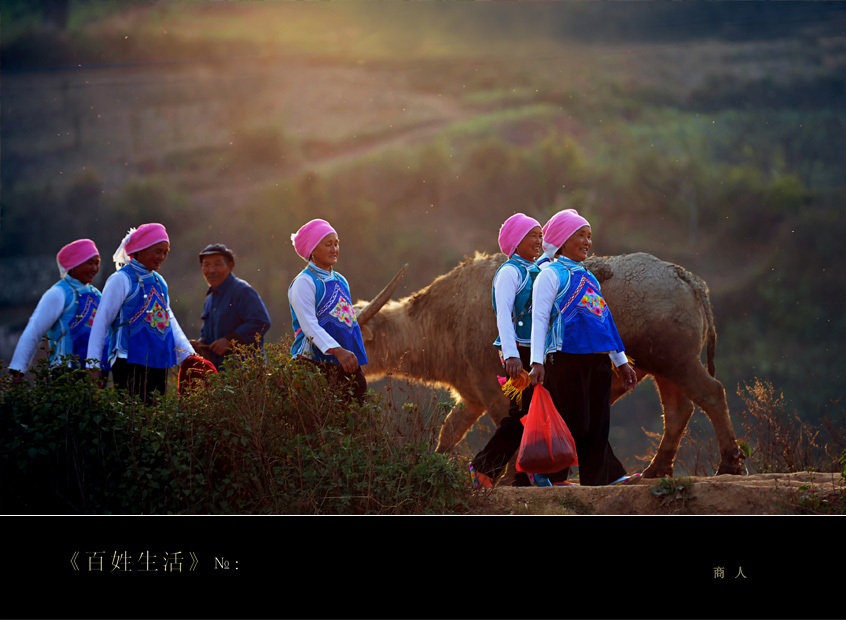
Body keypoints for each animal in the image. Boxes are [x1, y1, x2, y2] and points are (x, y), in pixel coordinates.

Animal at [354, 252, 744, 480]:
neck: (444, 319)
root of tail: (686, 278)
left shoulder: (495, 392)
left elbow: (510, 427)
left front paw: (513, 477)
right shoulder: (471, 396)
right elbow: (448, 431)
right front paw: (435, 465)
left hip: (677, 360)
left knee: (711, 394)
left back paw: (729, 464)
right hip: (665, 367)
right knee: (679, 410)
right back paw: (656, 469)